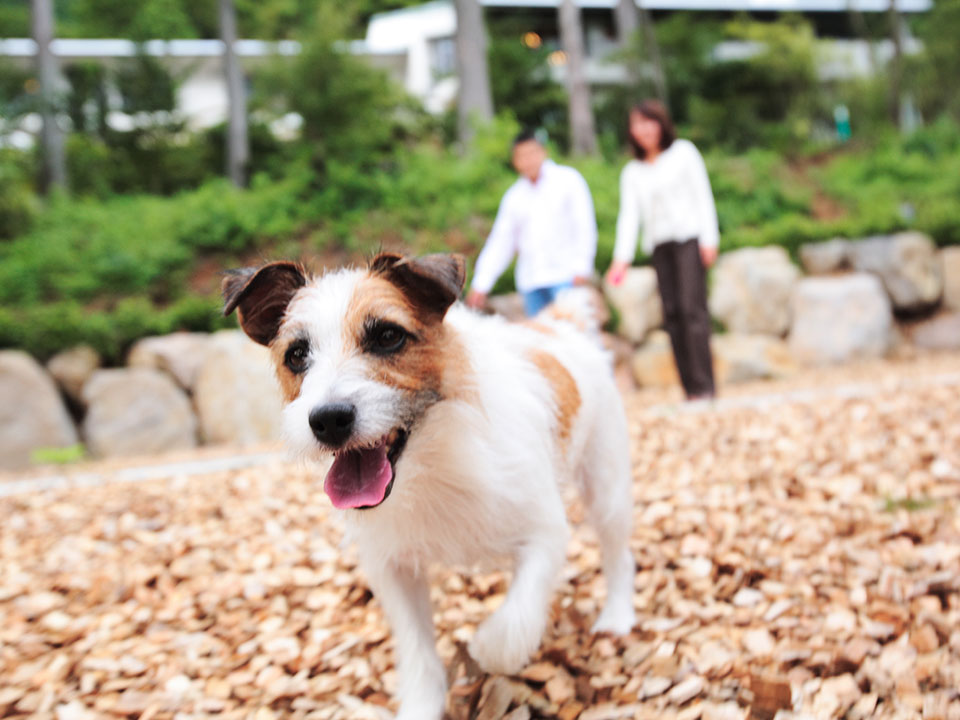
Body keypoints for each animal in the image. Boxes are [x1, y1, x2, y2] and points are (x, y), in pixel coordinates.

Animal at [221, 255, 632, 720]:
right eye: (296, 354)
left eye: (387, 336)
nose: (327, 419)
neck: (428, 465)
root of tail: (558, 326)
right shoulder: (393, 570)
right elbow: (417, 648)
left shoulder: (543, 534)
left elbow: (512, 624)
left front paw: (483, 650)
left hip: (607, 488)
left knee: (618, 554)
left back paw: (616, 618)